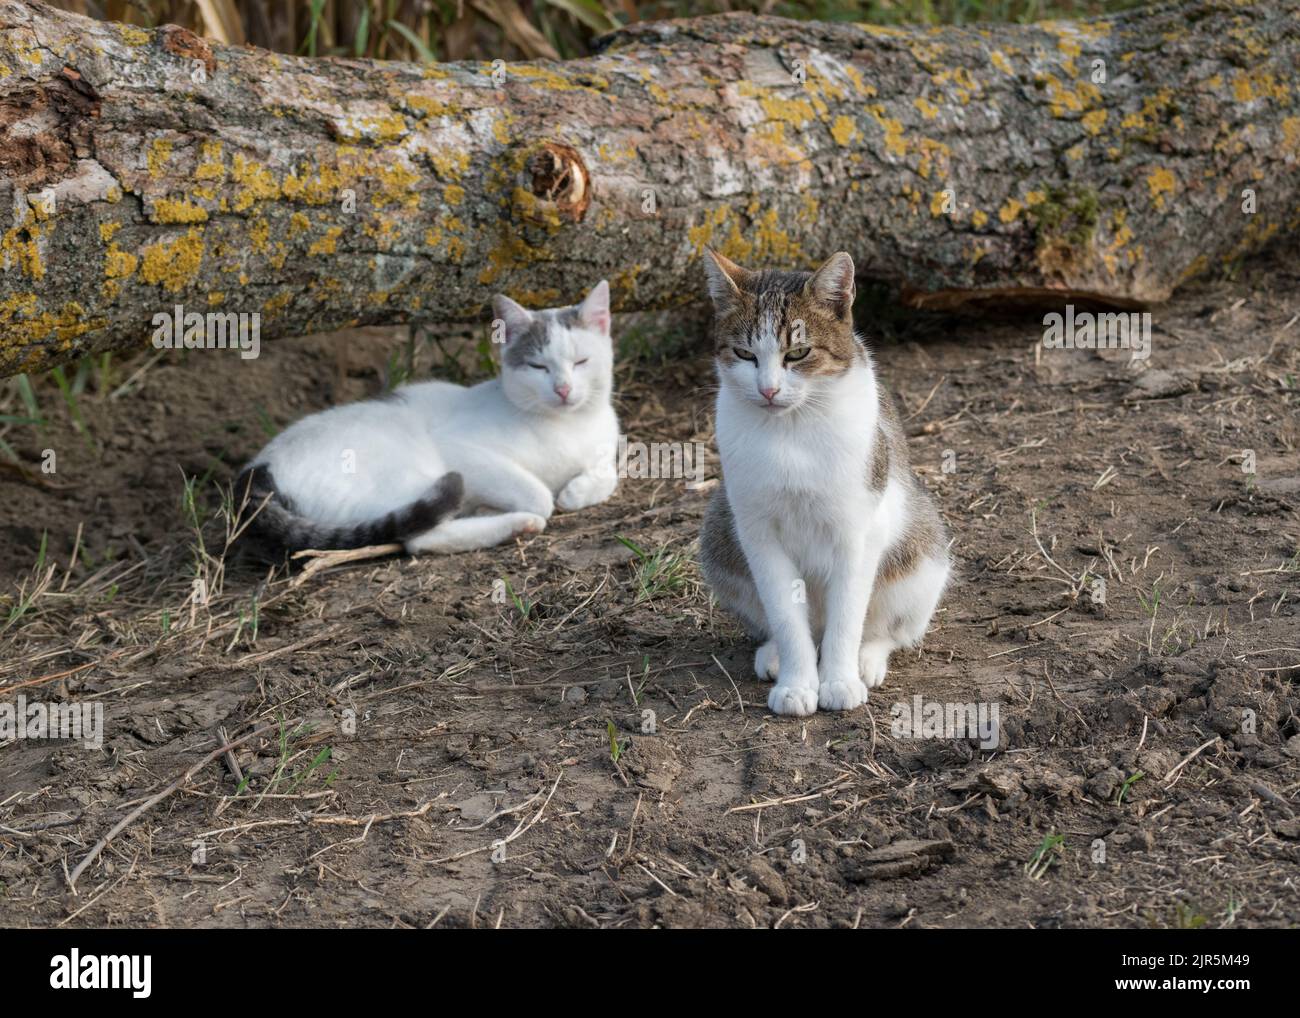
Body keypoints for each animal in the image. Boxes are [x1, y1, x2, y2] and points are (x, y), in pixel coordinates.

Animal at [240, 282, 624, 556]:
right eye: (538, 366)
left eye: (581, 362)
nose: (563, 388)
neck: (567, 427)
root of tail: (259, 466)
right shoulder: (461, 451)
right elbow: (538, 494)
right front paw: (521, 502)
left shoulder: (604, 447)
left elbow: (609, 473)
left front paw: (577, 492)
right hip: (408, 469)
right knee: (421, 538)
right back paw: (515, 522)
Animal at [702, 252, 956, 717]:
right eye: (745, 354)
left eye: (798, 352)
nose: (768, 390)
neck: (790, 429)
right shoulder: (757, 532)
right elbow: (785, 615)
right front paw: (797, 683)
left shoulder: (856, 531)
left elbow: (847, 616)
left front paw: (838, 680)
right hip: (717, 536)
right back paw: (774, 654)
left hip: (922, 557)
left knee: (886, 628)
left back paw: (867, 658)